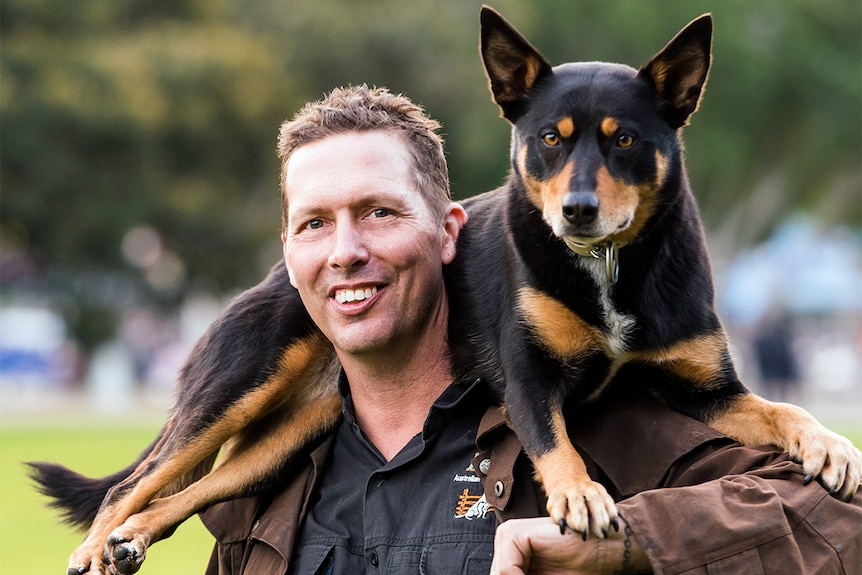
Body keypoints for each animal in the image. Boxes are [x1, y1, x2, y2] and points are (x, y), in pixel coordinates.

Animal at [30, 6, 860, 572]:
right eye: (550, 139)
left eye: (624, 139)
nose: (577, 210)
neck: (605, 268)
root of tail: (267, 276)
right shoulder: (527, 377)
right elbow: (555, 442)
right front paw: (580, 496)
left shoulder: (707, 387)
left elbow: (784, 409)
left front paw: (832, 446)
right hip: (236, 386)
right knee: (132, 485)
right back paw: (101, 543)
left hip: (284, 440)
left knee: (179, 495)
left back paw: (131, 541)